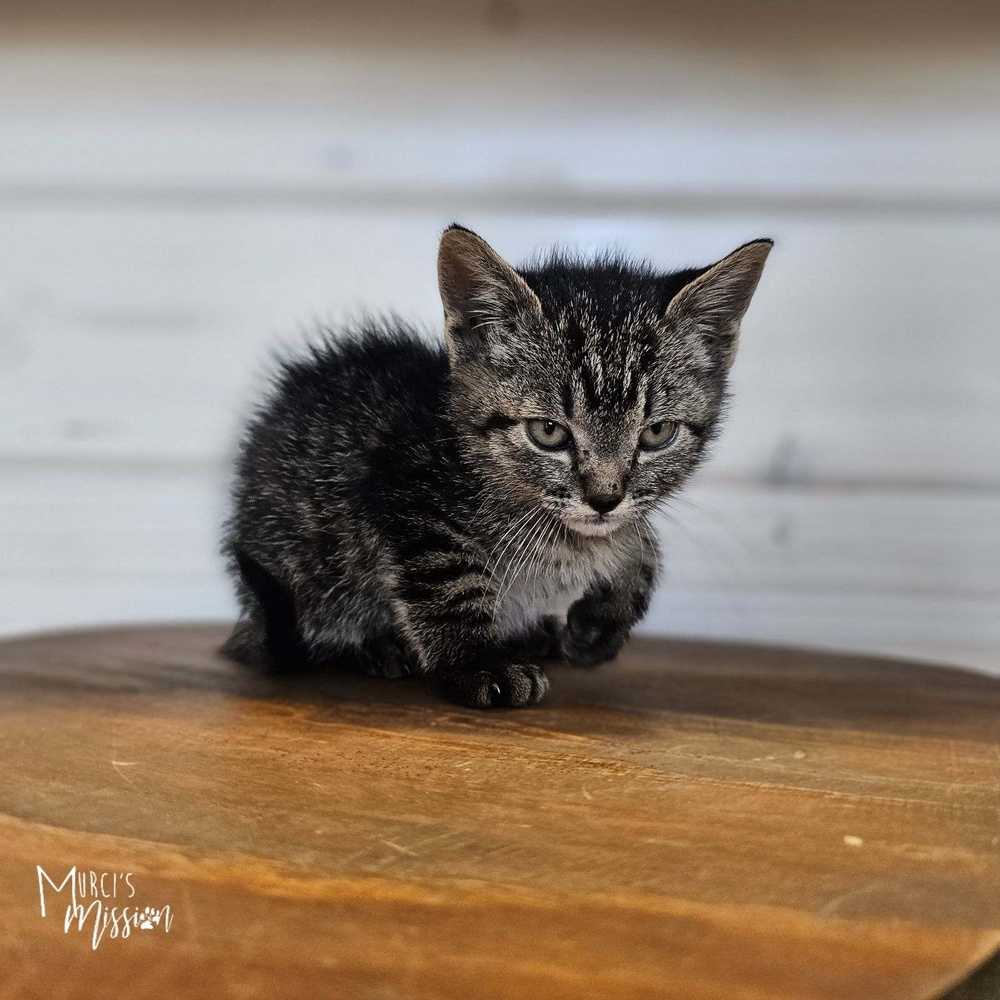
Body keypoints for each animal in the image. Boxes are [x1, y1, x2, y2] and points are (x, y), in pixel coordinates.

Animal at [223, 227, 768, 712]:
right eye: (548, 432)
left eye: (657, 433)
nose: (604, 497)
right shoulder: (403, 488)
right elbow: (449, 580)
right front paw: (478, 664)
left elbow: (640, 540)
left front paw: (605, 617)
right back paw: (376, 646)